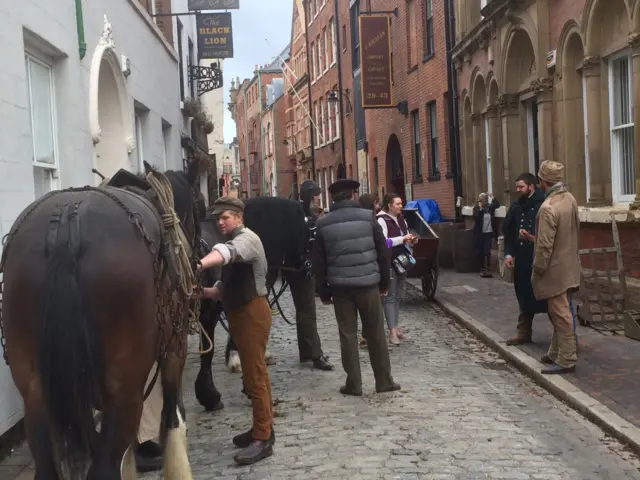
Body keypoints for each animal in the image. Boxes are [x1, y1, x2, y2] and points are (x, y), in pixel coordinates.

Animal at [0, 162, 200, 480]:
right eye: (198, 204)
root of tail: (67, 223)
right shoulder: (174, 350)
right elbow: (173, 418)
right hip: (125, 388)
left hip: (36, 393)